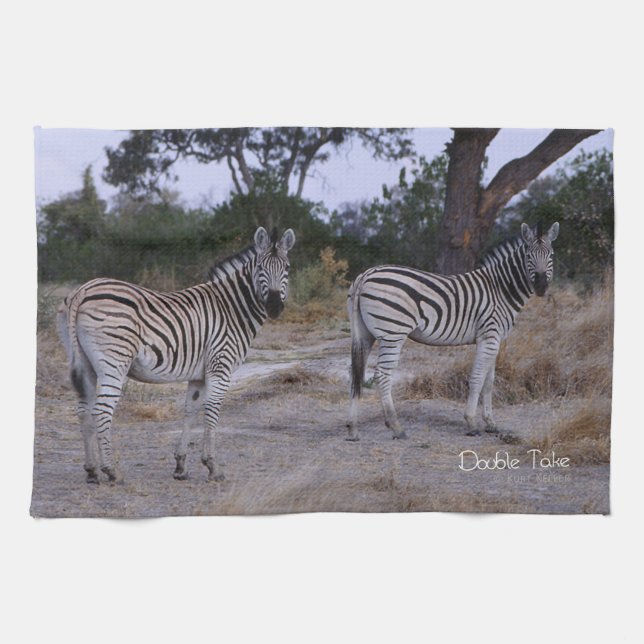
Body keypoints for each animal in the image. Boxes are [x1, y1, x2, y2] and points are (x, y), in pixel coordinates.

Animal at [57, 227, 295, 483]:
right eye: (260, 267)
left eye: (287, 268)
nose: (274, 307)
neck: (231, 308)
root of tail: (83, 289)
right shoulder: (220, 364)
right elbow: (212, 411)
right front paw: (212, 466)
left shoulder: (199, 374)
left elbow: (190, 410)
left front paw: (181, 465)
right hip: (114, 362)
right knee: (101, 411)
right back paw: (111, 471)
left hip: (85, 364)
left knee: (83, 410)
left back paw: (91, 470)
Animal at [346, 222, 559, 442]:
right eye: (528, 256)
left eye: (551, 255)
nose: (541, 286)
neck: (500, 289)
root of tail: (366, 275)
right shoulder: (489, 336)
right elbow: (477, 378)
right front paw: (472, 423)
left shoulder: (495, 340)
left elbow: (489, 382)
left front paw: (491, 423)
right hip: (393, 334)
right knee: (382, 375)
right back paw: (396, 427)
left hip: (364, 334)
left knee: (355, 373)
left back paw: (353, 429)